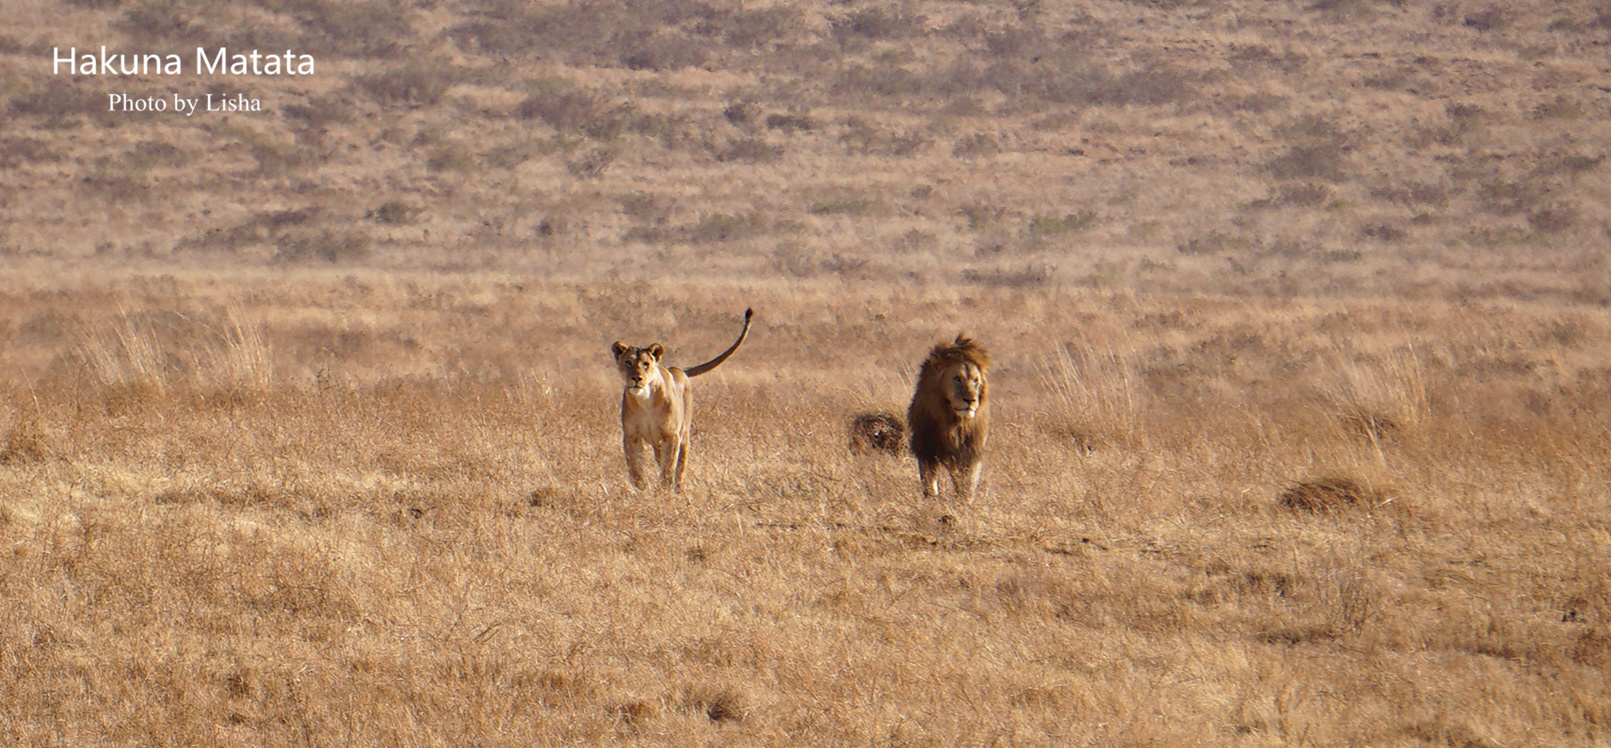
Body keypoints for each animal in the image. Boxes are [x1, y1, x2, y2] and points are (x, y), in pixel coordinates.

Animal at [608, 307, 753, 490]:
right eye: (628, 362)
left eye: (646, 364)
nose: (636, 378)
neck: (645, 400)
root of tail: (679, 369)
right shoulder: (631, 436)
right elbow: (636, 469)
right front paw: (641, 491)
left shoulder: (671, 435)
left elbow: (668, 468)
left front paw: (664, 491)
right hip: (658, 442)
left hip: (684, 435)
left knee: (680, 466)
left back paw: (679, 489)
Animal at [915, 336, 985, 502]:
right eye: (957, 378)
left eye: (975, 380)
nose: (970, 400)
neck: (954, 422)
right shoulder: (926, 449)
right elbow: (929, 482)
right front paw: (931, 500)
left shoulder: (971, 451)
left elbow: (967, 482)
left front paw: (964, 501)